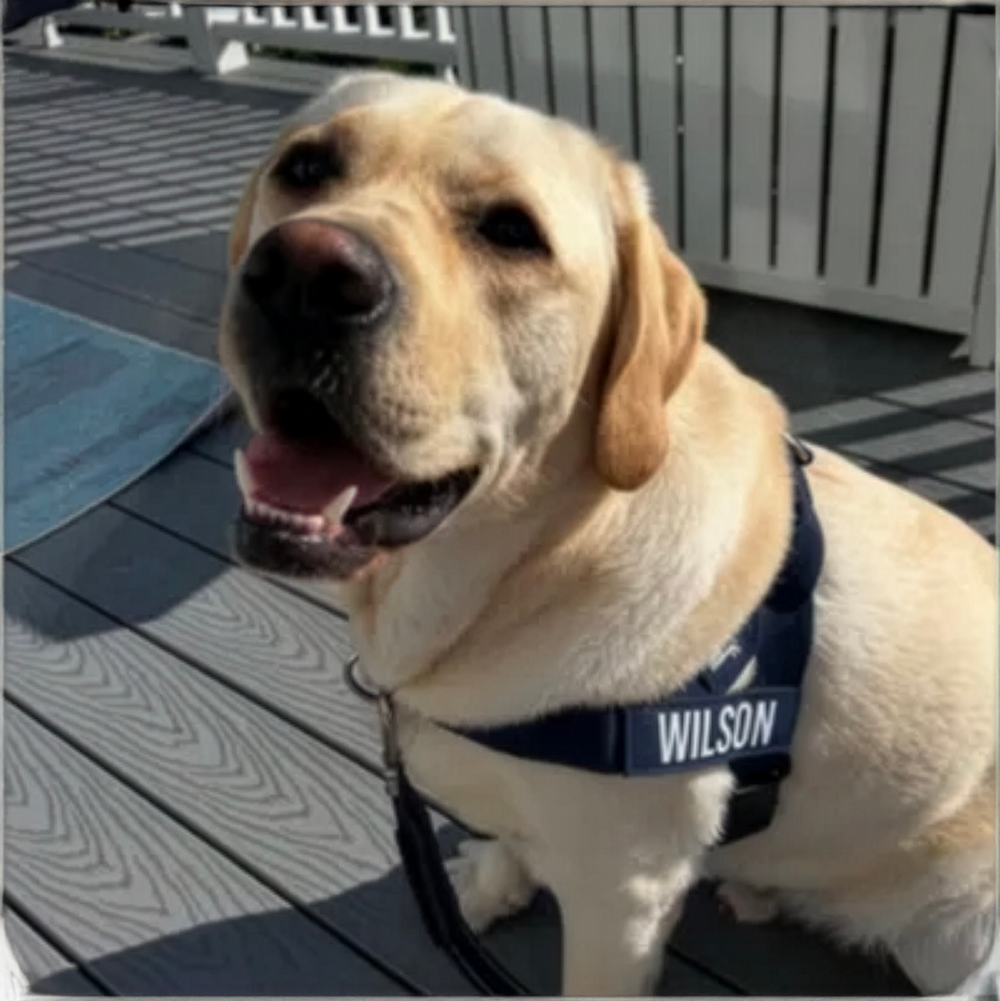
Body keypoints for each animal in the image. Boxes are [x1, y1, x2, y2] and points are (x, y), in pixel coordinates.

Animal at [219, 70, 998, 996]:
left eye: (511, 231)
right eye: (306, 167)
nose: (302, 272)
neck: (536, 561)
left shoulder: (622, 896)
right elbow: (513, 839)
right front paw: (495, 879)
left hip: (955, 930)